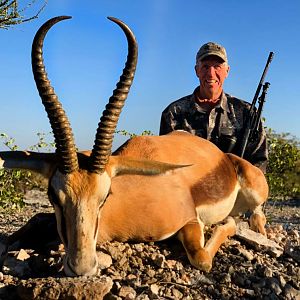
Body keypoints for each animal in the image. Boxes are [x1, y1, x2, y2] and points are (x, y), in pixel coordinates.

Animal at [0, 15, 268, 276]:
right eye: (53, 195)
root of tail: (226, 157)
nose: (81, 267)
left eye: (105, 196)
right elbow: (35, 219)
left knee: (255, 216)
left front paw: (227, 224)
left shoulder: (191, 220)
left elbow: (202, 258)